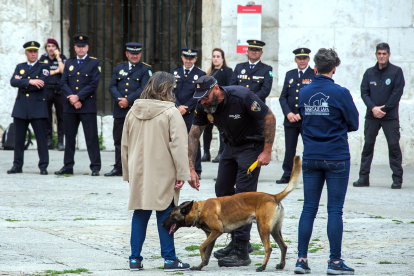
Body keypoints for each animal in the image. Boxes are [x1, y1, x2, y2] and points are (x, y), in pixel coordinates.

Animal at [161, 155, 300, 272]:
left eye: (170, 215)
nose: (161, 224)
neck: (199, 210)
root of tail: (273, 196)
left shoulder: (216, 231)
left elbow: (201, 247)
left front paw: (201, 259)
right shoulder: (211, 236)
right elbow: (206, 253)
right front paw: (200, 265)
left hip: (263, 229)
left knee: (269, 248)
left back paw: (262, 266)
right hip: (274, 230)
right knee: (283, 246)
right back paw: (281, 265)